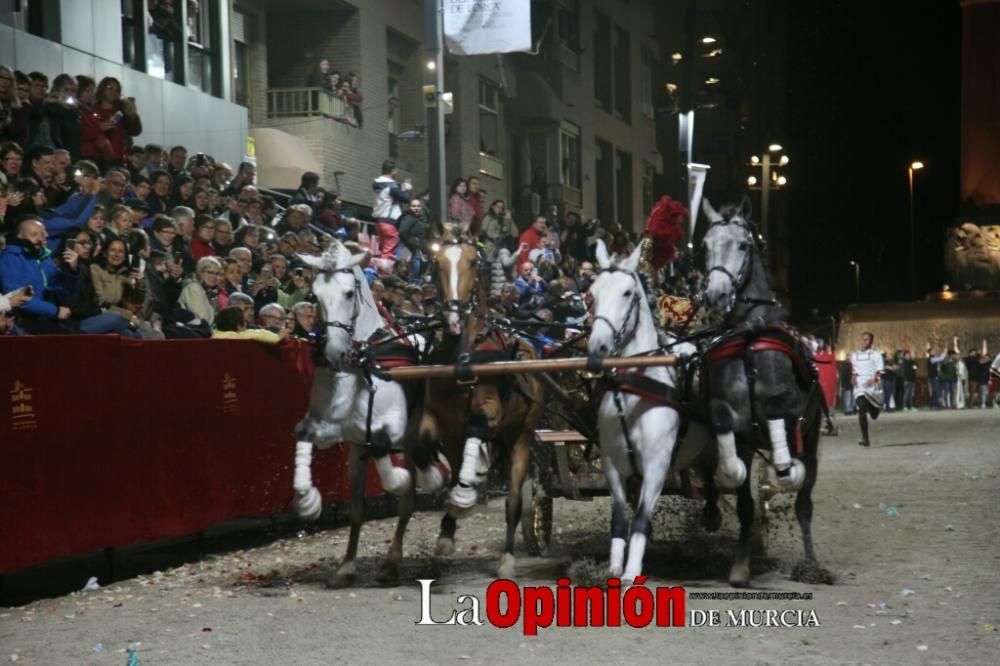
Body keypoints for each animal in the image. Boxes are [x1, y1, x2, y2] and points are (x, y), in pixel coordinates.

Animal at [290, 244, 446, 588]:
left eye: (349, 293)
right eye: (315, 295)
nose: (334, 353)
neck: (363, 363)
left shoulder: (392, 429)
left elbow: (388, 460)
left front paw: (404, 480)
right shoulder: (340, 434)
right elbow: (356, 507)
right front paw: (310, 504)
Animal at [376, 233, 548, 580]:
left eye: (472, 261)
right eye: (437, 263)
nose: (453, 317)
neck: (464, 354)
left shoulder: (491, 411)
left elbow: (479, 423)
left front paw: (463, 494)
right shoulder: (435, 416)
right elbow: (421, 446)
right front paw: (435, 484)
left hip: (521, 435)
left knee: (513, 500)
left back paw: (506, 557)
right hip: (461, 440)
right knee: (451, 467)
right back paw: (446, 527)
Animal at [584, 239, 688, 580]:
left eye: (628, 293)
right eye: (593, 292)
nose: (597, 348)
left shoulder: (657, 464)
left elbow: (641, 517)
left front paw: (631, 572)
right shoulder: (612, 463)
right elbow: (619, 515)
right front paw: (615, 566)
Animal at [700, 200, 824, 584]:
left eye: (742, 245)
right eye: (705, 246)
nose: (715, 295)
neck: (750, 338)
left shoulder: (788, 406)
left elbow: (776, 411)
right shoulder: (736, 427)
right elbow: (741, 497)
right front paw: (740, 565)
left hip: (813, 434)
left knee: (804, 499)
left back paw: (811, 564)